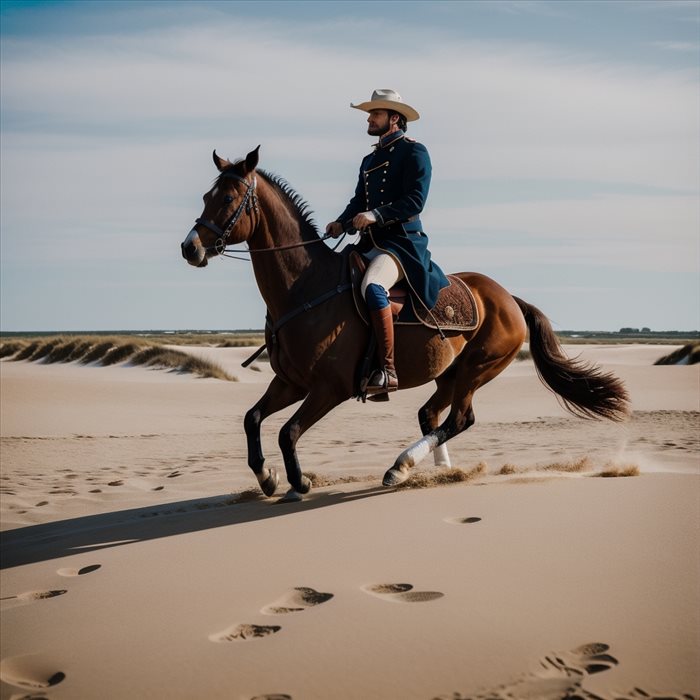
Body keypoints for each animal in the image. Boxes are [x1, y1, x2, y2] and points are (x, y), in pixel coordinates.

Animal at [182, 146, 628, 498]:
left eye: (229, 198)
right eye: (206, 195)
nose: (190, 247)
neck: (305, 287)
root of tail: (509, 299)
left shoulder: (329, 388)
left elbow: (286, 432)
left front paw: (298, 482)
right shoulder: (292, 382)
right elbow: (253, 419)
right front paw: (268, 477)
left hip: (477, 369)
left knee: (459, 419)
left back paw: (400, 466)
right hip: (448, 373)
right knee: (432, 416)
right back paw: (433, 470)